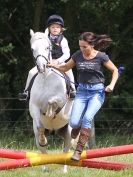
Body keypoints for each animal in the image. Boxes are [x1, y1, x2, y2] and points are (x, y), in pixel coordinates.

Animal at [29, 29, 74, 173]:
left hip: (68, 131)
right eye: (33, 49)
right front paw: (44, 140)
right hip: (36, 133)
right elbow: (40, 126)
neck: (46, 77)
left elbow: (51, 101)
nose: (41, 67)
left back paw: (64, 170)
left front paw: (50, 112)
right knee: (43, 151)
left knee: (66, 149)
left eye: (47, 47)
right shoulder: (34, 107)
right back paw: (45, 168)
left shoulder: (61, 99)